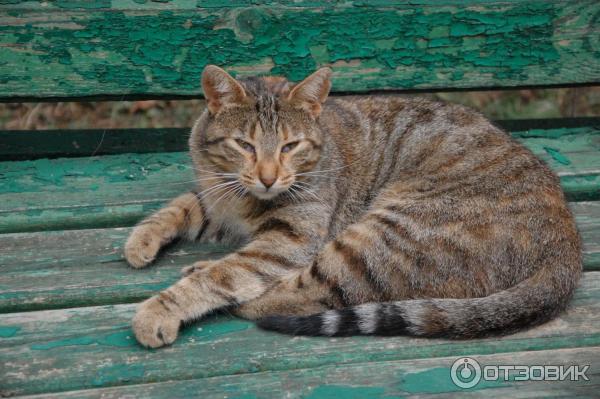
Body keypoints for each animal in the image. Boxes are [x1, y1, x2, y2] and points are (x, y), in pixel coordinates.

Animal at [125, 65, 580, 346]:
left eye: (290, 146)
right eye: (244, 145)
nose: (269, 177)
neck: (240, 197)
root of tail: (567, 242)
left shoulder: (290, 237)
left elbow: (224, 275)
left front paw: (161, 309)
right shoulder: (218, 199)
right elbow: (184, 206)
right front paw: (141, 239)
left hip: (383, 235)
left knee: (306, 291)